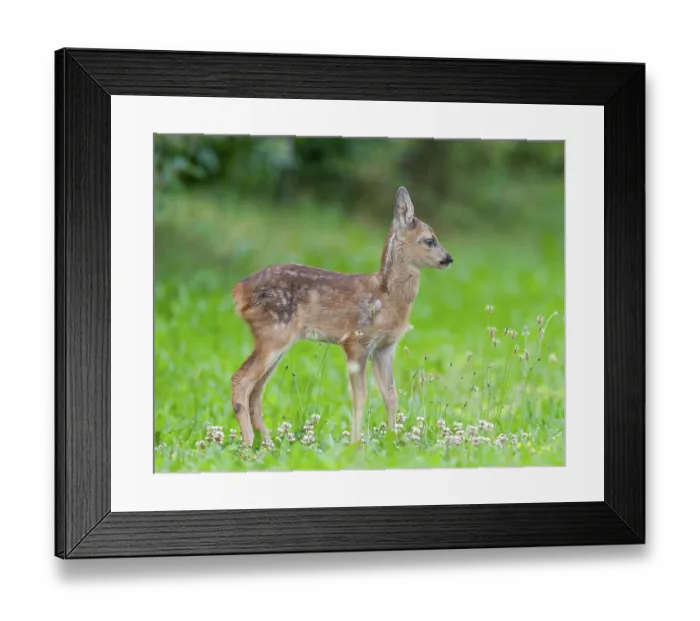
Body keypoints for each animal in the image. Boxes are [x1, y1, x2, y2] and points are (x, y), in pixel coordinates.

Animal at [230, 187, 453, 446]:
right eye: (429, 239)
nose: (448, 258)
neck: (386, 296)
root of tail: (238, 292)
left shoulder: (385, 347)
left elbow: (391, 395)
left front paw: (393, 441)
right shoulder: (356, 339)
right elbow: (360, 397)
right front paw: (356, 444)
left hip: (275, 339)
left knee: (256, 391)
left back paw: (267, 444)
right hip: (273, 333)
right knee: (241, 380)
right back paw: (248, 444)